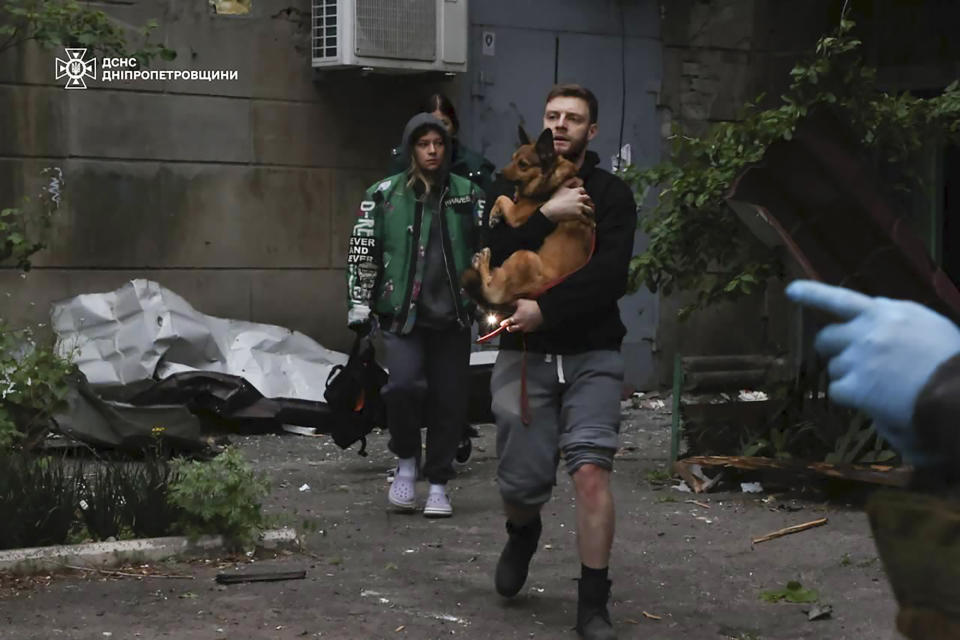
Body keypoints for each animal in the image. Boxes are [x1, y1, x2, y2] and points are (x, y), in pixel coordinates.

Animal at [464, 125, 592, 312]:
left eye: (522, 164)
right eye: (512, 159)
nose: (498, 174)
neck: (553, 178)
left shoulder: (516, 214)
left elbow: (502, 197)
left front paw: (494, 214)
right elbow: (505, 197)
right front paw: (496, 213)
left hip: (524, 255)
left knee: (488, 286)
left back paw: (483, 260)